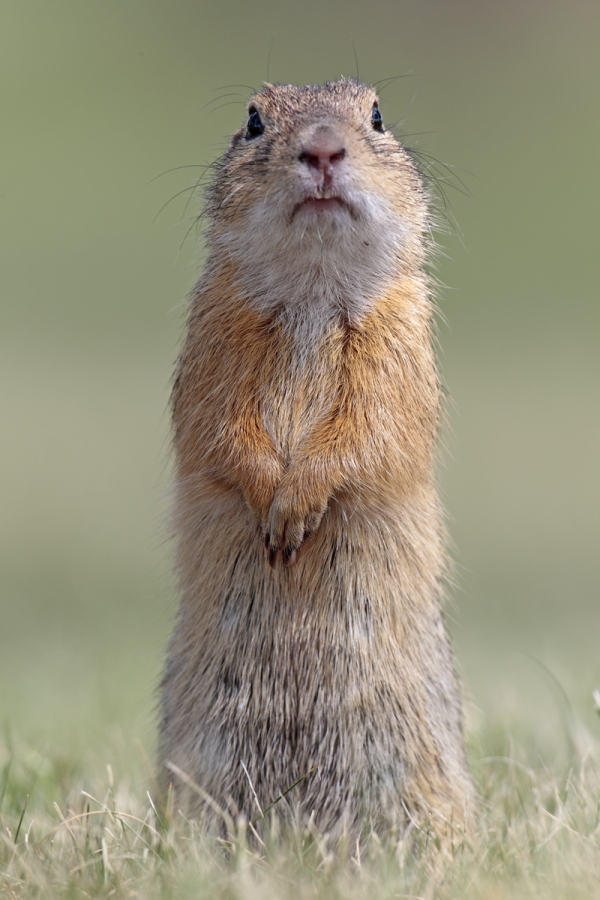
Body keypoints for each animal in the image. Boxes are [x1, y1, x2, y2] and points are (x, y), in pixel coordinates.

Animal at [159, 79, 473, 843]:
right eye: (252, 120)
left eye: (378, 115)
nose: (324, 150)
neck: (310, 292)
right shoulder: (214, 335)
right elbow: (216, 425)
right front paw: (269, 499)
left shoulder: (398, 341)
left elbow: (373, 429)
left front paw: (297, 503)